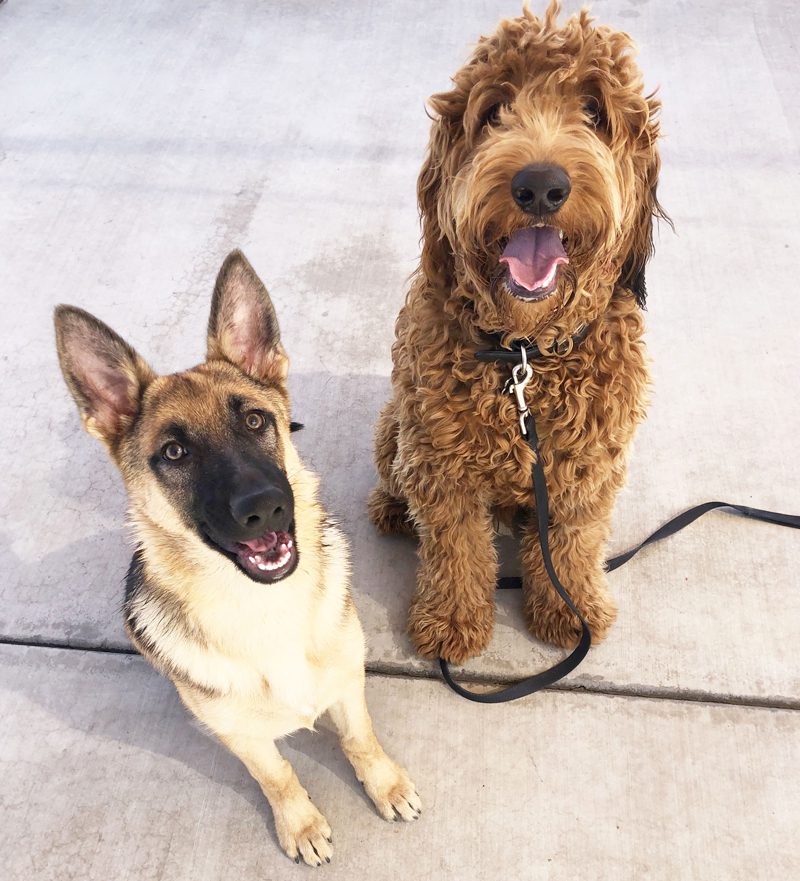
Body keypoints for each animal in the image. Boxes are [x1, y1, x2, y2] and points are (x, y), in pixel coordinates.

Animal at [54, 249, 418, 868]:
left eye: (254, 420)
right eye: (174, 452)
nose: (264, 509)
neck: (264, 607)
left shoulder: (348, 686)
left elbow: (360, 739)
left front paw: (385, 784)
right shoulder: (244, 738)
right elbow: (278, 776)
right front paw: (300, 824)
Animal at [370, 0, 668, 660]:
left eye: (594, 112)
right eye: (493, 112)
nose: (540, 185)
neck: (525, 356)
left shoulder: (585, 470)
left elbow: (573, 544)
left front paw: (570, 609)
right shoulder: (441, 464)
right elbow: (456, 548)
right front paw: (452, 623)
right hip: (395, 429)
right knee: (395, 478)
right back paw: (391, 508)